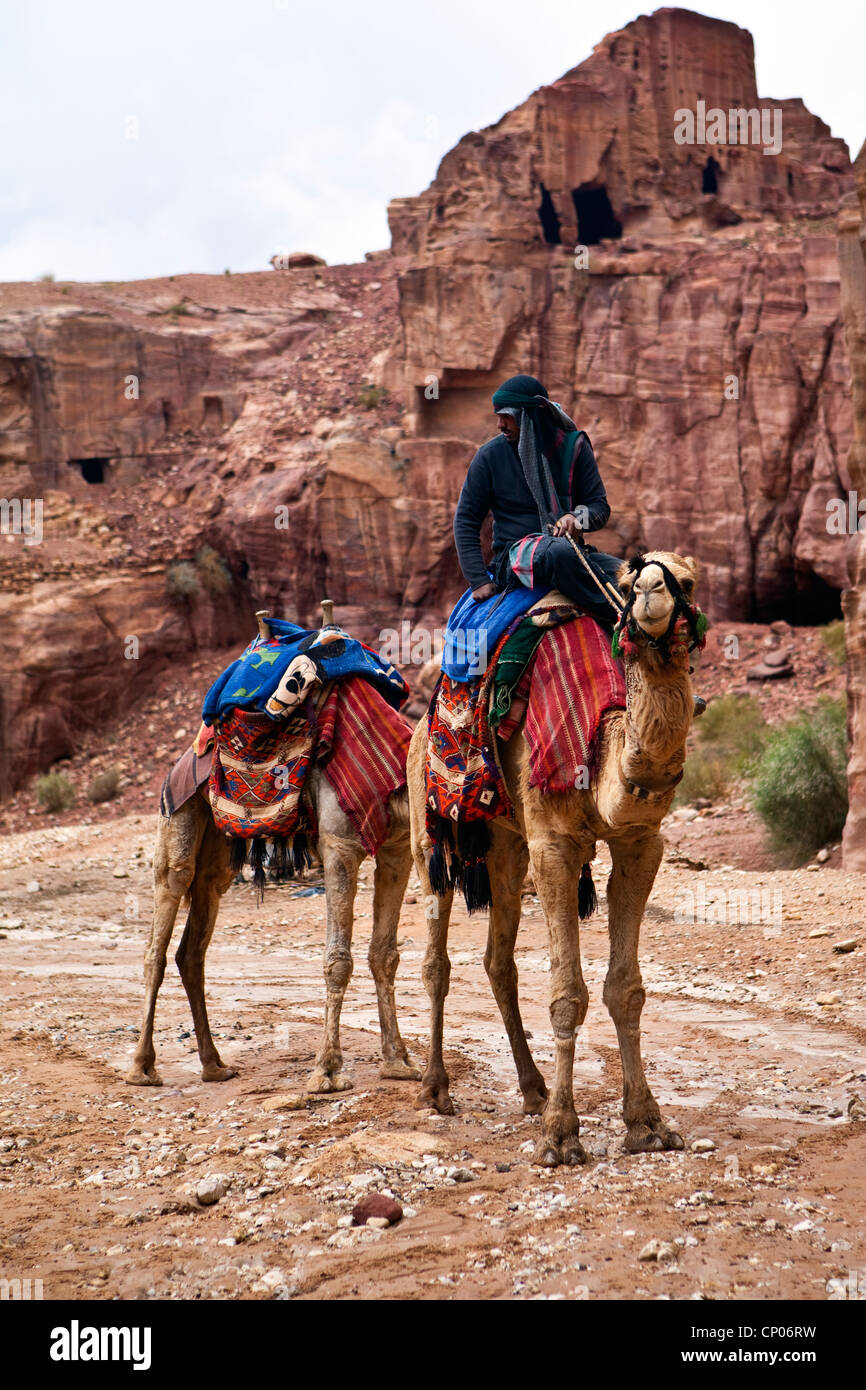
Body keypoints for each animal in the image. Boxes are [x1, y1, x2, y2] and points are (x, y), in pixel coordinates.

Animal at [127, 711, 422, 1089]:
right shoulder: (339, 846)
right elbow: (338, 961)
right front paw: (328, 1071)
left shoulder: (398, 849)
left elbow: (384, 956)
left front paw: (398, 1062)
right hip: (178, 814)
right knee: (164, 919)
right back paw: (142, 1068)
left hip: (219, 851)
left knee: (193, 939)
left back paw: (214, 1065)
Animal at [408, 550, 700, 1162]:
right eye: (630, 582)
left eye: (686, 581)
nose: (653, 592)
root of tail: (419, 722)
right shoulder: (554, 846)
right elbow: (567, 993)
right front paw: (562, 1136)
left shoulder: (641, 841)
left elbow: (626, 990)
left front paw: (647, 1124)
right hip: (431, 834)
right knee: (436, 961)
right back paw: (435, 1088)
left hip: (506, 846)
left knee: (498, 961)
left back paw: (532, 1088)